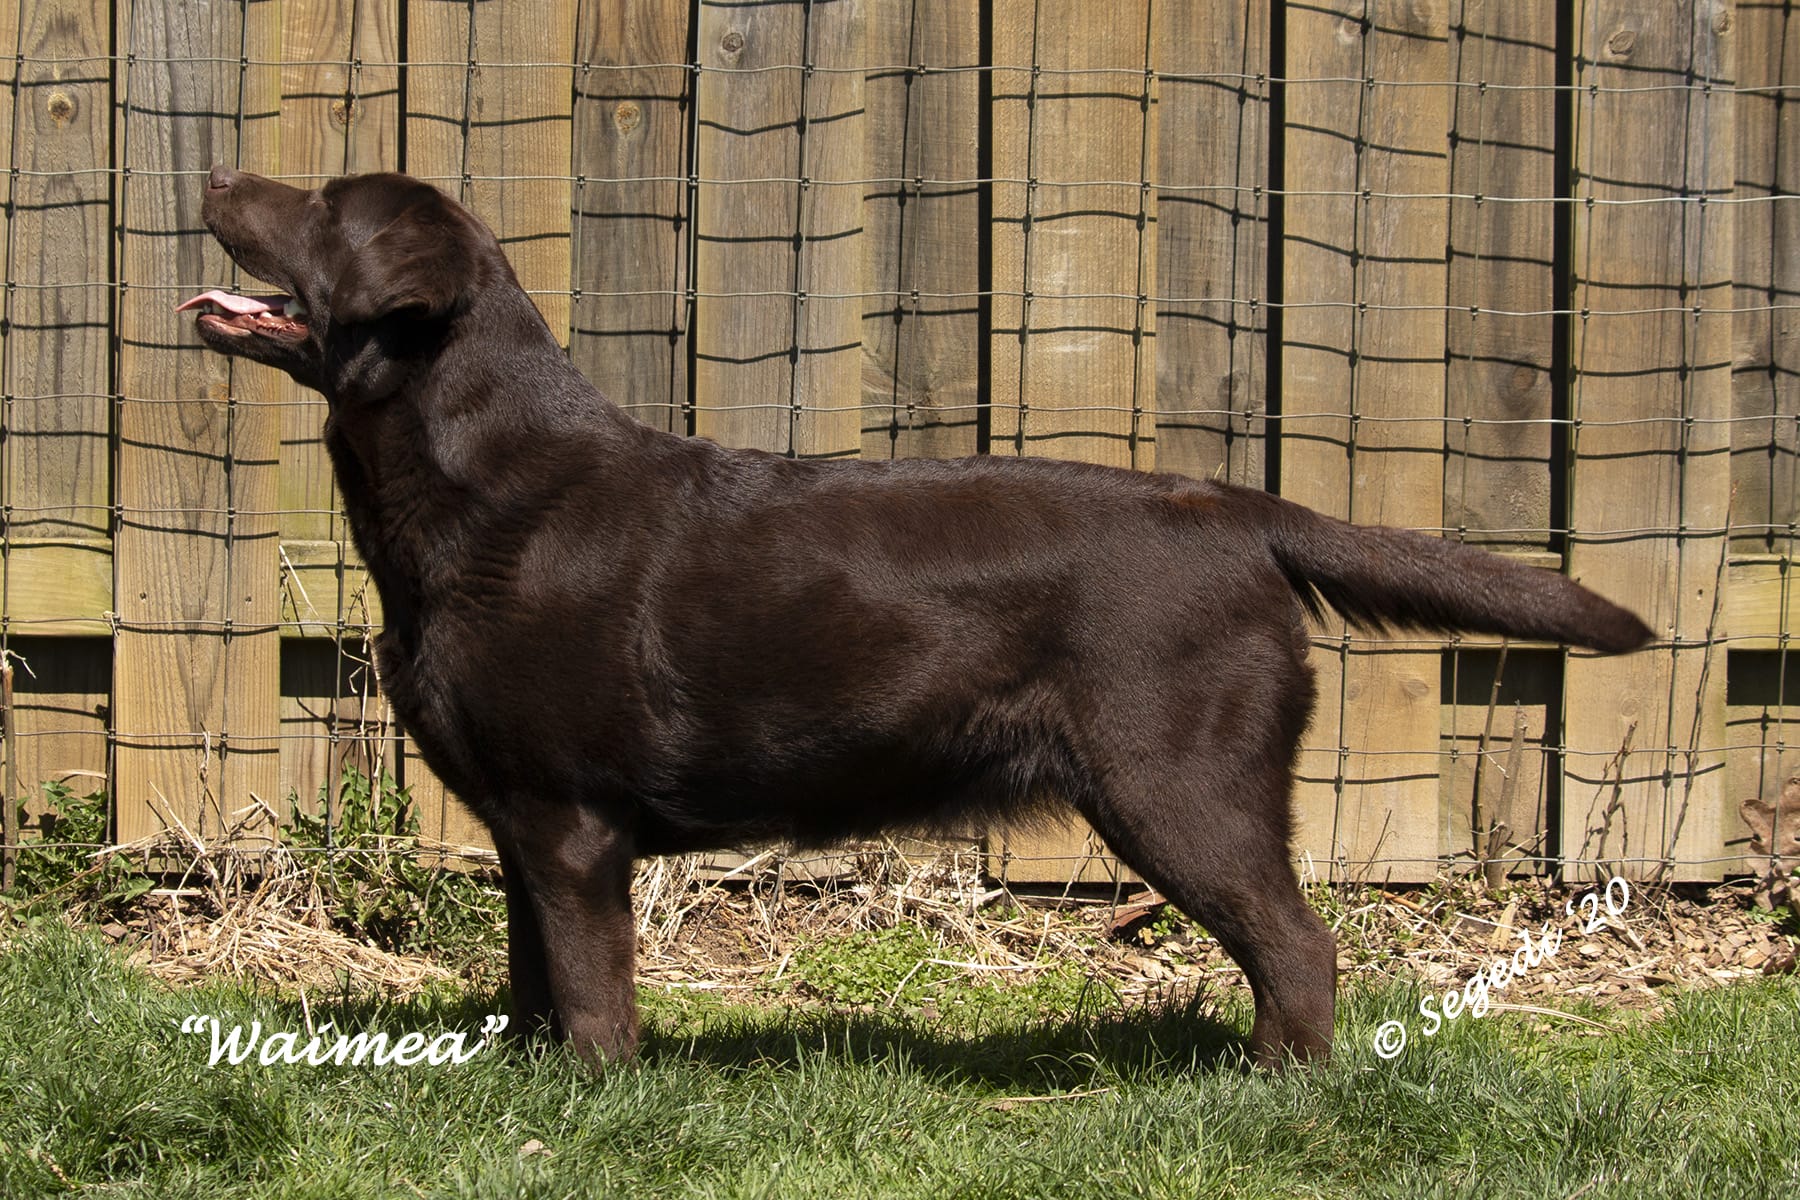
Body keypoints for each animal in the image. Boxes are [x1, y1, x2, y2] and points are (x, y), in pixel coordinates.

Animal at [183, 165, 1652, 1067]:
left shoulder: (571, 821)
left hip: (1178, 783)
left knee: (1300, 946)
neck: (479, 484)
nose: (210, 173)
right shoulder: (520, 826)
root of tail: (1237, 509)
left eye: (323, 204)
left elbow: (594, 999)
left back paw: (1273, 1090)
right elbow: (534, 983)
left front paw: (597, 1107)